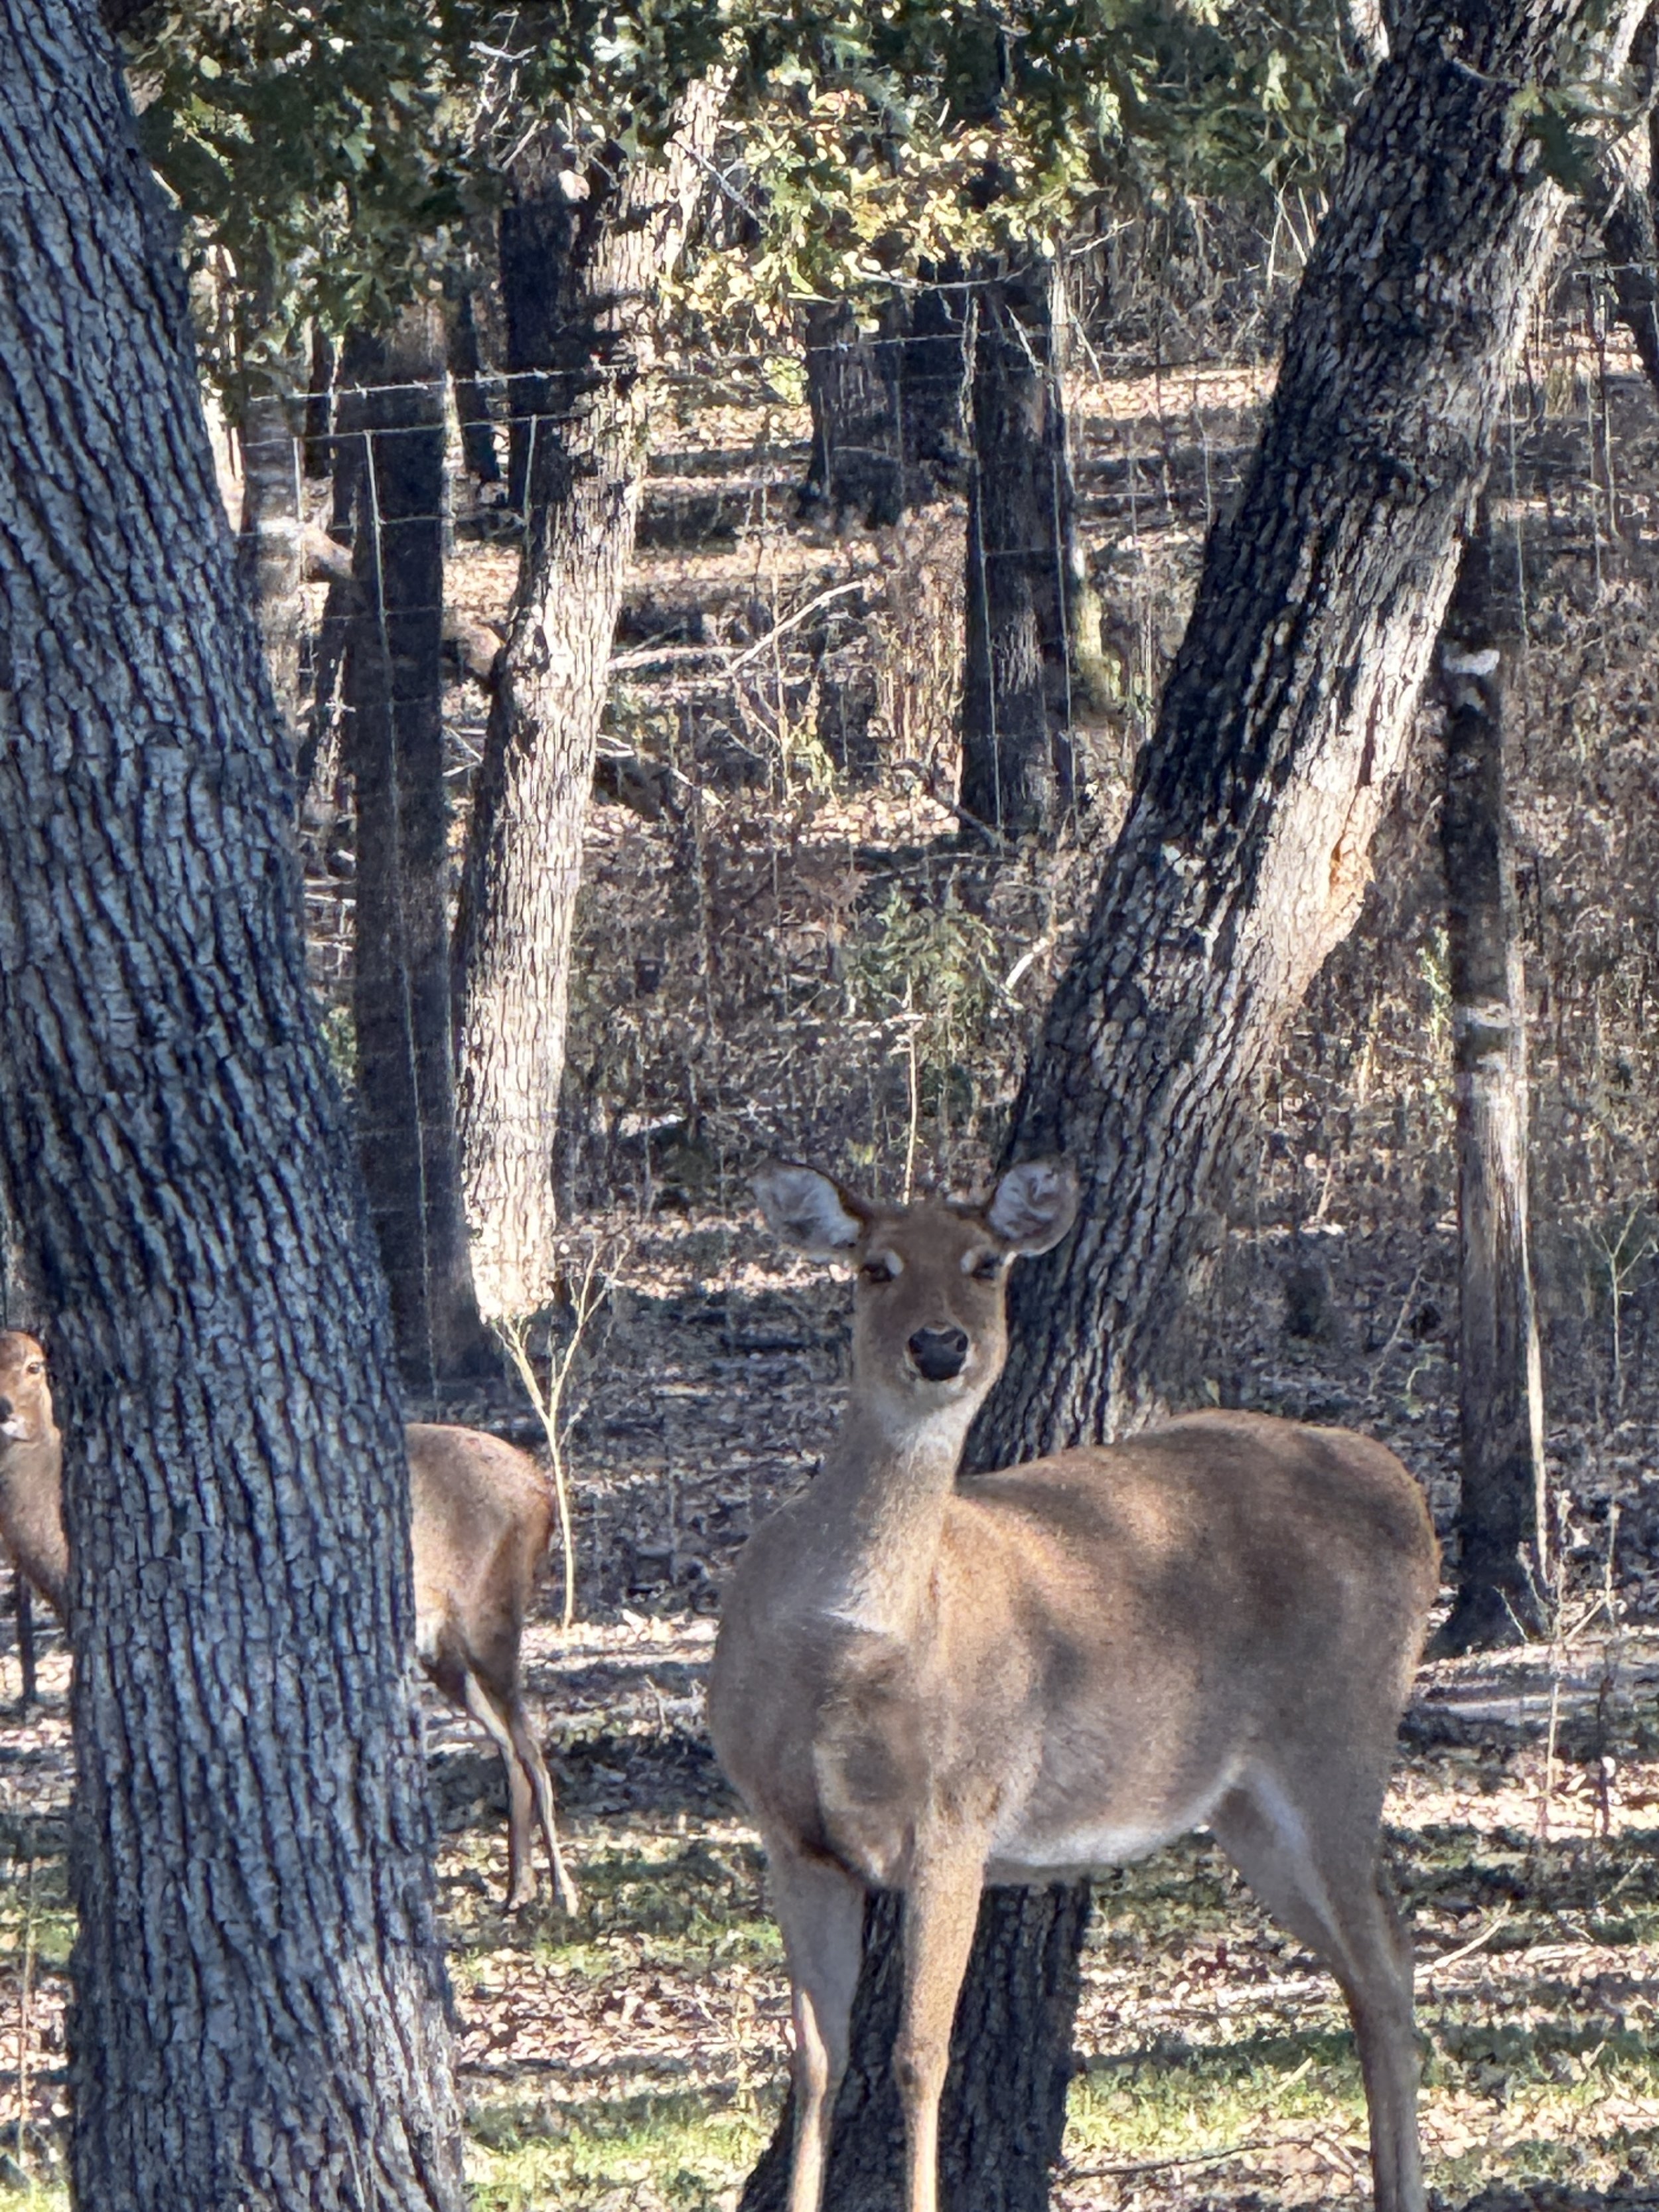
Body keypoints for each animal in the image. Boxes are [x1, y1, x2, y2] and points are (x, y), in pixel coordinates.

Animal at [0, 1332, 576, 1914]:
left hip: (491, 1612)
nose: (4, 1410)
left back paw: (561, 1891)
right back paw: (518, 1887)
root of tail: (543, 1493)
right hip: (443, 1649)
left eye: (35, 1366)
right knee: (509, 1744)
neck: (61, 1557)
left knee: (530, 1743)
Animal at [707, 1160, 1439, 2212]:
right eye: (875, 1266)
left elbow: (919, 2056)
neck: (844, 1647)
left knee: (1385, 1959)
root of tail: (1407, 1492)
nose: (940, 1346)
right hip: (1247, 1802)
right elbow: (817, 2059)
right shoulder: (790, 1833)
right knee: (1370, 1961)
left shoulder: (959, 1811)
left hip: (1343, 1735)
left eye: (986, 1262)